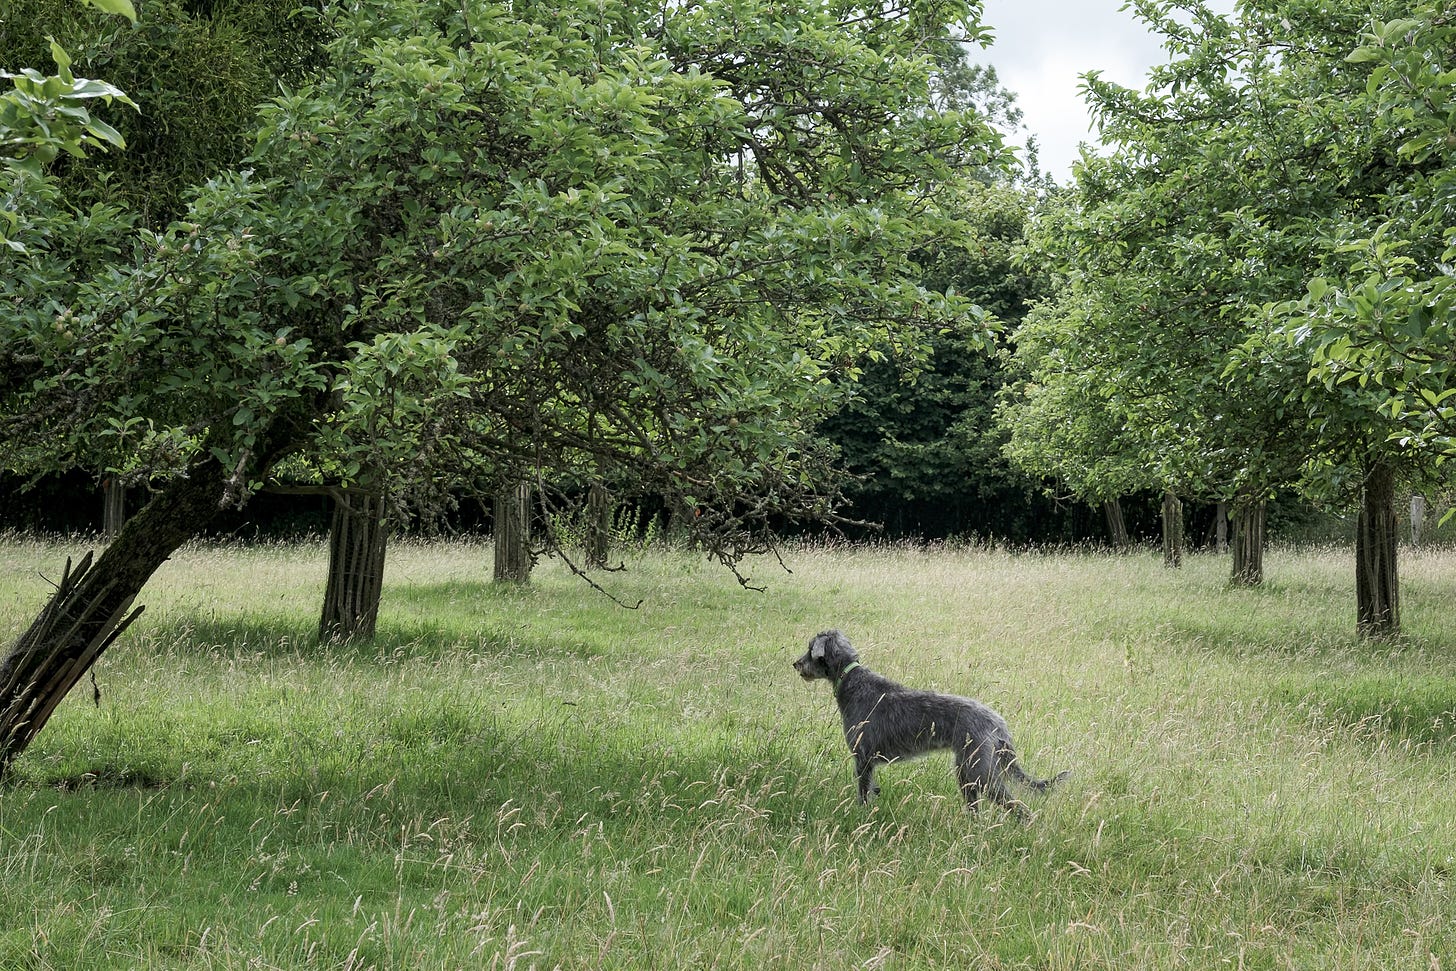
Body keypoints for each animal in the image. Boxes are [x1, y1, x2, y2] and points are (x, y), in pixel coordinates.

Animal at [797, 631, 1071, 815]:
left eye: (810, 649)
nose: (795, 663)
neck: (851, 679)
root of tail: (998, 722)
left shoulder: (863, 758)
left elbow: (863, 792)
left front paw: (860, 815)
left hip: (978, 773)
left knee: (1019, 807)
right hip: (969, 774)